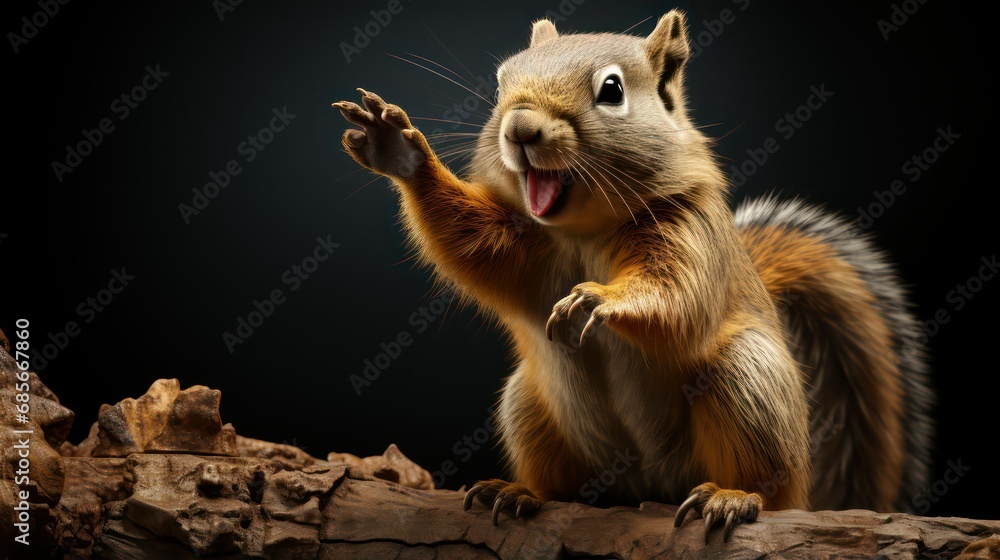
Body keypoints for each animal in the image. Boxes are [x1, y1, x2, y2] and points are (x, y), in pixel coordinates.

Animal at [333, 9, 934, 543]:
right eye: (501, 79)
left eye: (612, 90)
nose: (520, 127)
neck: (582, 231)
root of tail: (649, 485)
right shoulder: (524, 248)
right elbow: (471, 246)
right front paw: (398, 151)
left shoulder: (689, 228)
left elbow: (675, 293)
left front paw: (597, 299)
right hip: (529, 402)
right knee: (563, 483)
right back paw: (523, 493)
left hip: (749, 383)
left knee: (768, 483)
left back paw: (732, 496)